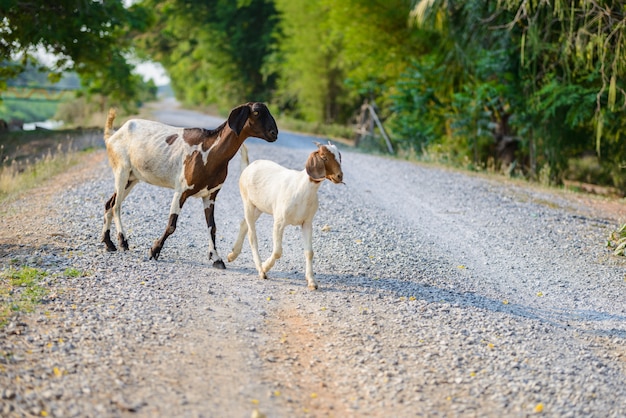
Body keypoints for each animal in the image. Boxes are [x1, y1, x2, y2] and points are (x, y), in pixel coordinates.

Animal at [101, 101, 276, 268]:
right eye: (256, 112)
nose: (274, 133)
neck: (209, 152)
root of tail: (113, 136)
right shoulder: (181, 190)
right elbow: (171, 225)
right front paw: (154, 250)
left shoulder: (210, 195)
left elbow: (212, 227)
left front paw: (217, 259)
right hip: (121, 170)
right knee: (116, 206)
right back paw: (122, 242)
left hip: (132, 178)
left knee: (109, 203)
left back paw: (108, 243)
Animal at [227, 142, 342, 290]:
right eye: (324, 157)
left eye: (339, 156)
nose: (339, 176)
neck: (302, 188)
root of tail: (248, 167)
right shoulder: (279, 221)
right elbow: (277, 251)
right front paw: (265, 267)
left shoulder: (307, 223)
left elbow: (309, 252)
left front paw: (312, 281)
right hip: (247, 202)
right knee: (252, 235)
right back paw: (260, 269)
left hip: (259, 207)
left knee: (243, 224)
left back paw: (232, 255)